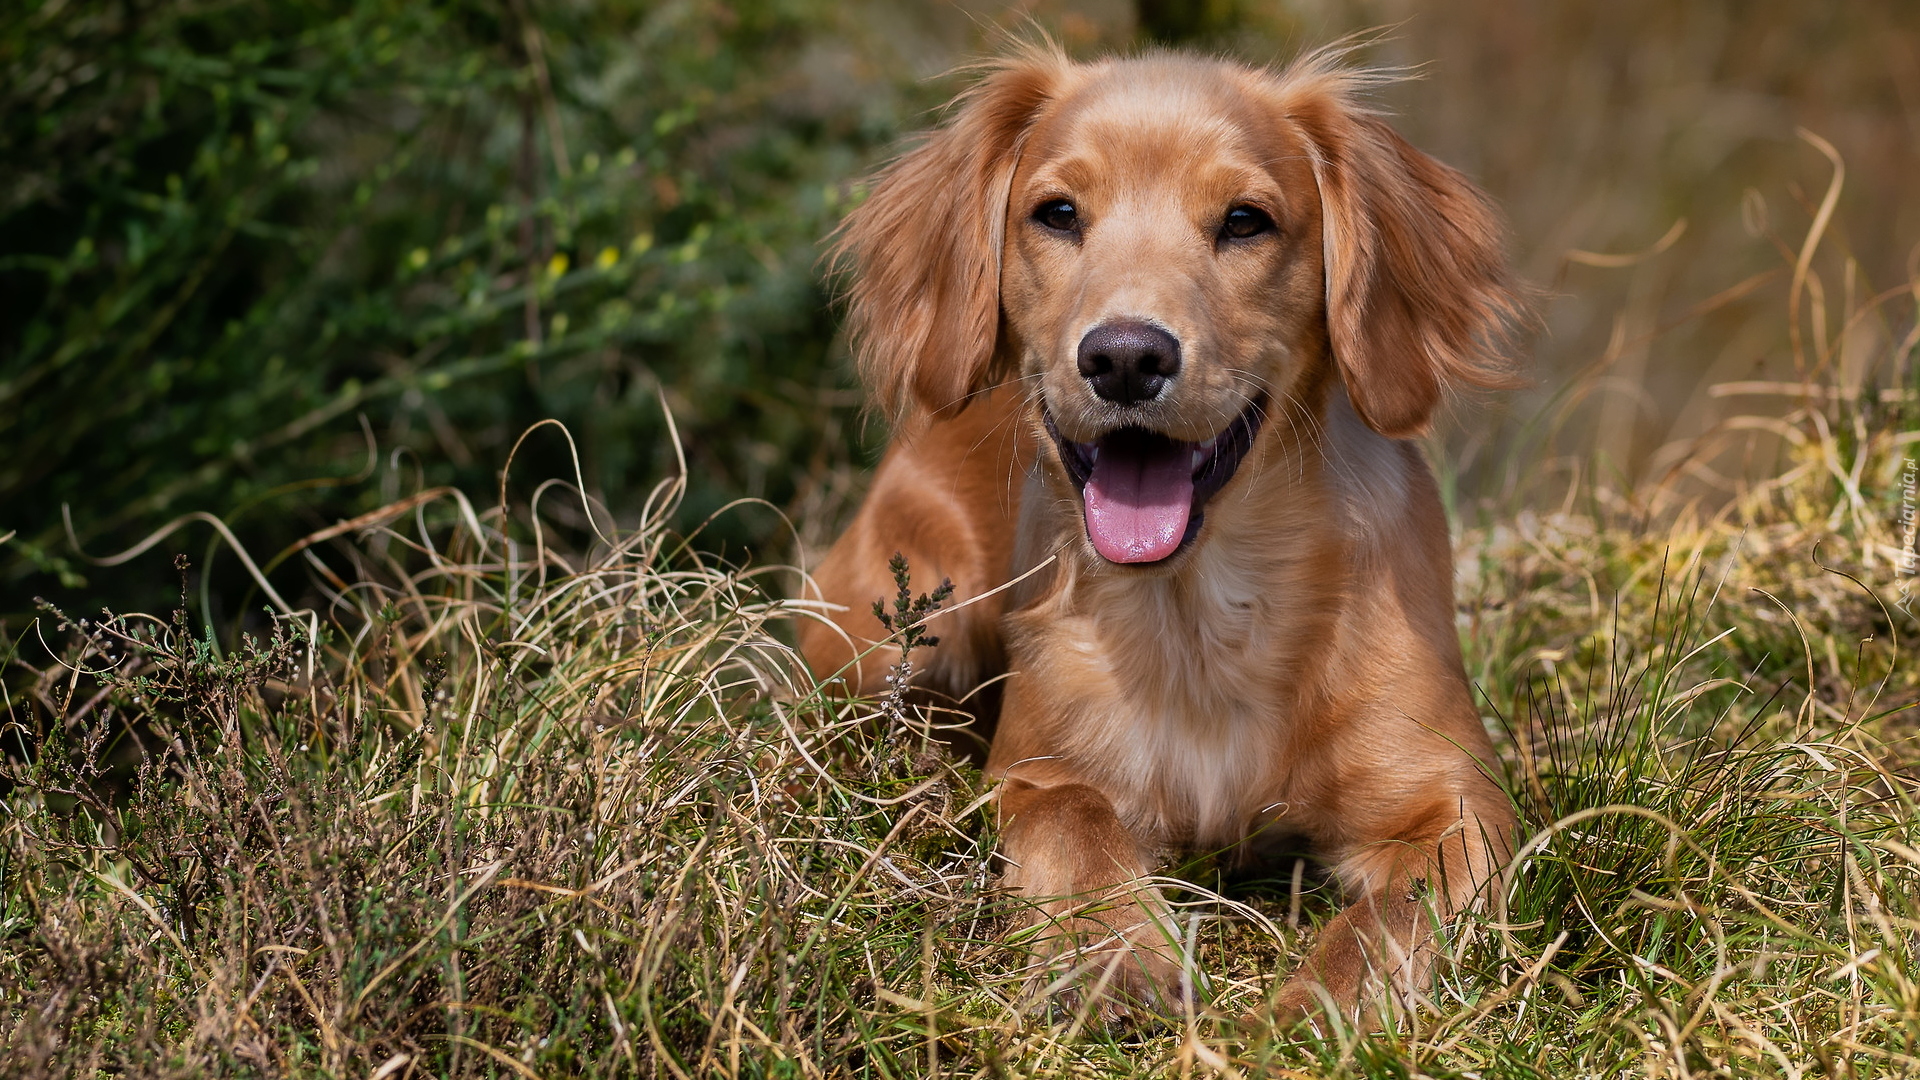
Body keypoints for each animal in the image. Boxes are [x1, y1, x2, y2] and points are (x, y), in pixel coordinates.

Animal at [802, 46, 1520, 1022]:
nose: (1125, 358)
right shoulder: (1040, 769)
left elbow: (1394, 912)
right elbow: (1075, 823)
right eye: (1058, 213)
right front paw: (1115, 954)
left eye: (1246, 221)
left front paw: (1317, 1011)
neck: (1204, 611)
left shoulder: (1457, 797)